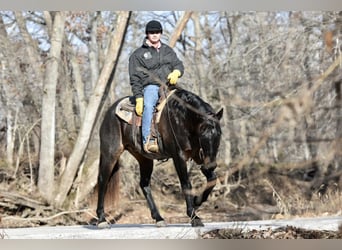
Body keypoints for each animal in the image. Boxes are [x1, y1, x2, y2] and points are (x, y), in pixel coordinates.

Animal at [96, 85, 224, 228]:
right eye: (203, 133)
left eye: (219, 134)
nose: (212, 164)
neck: (182, 118)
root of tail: (109, 113)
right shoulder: (178, 156)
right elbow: (186, 184)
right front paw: (194, 217)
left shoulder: (198, 155)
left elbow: (212, 178)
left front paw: (197, 200)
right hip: (110, 154)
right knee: (103, 180)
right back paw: (101, 219)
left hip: (144, 159)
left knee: (144, 185)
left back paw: (158, 218)